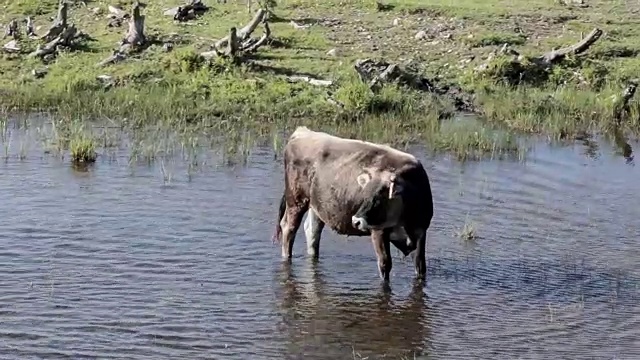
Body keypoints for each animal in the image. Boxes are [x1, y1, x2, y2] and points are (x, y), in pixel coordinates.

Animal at [270, 126, 436, 282]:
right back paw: (287, 258)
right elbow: (385, 264)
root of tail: (303, 132)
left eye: (380, 196)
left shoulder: (420, 232)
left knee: (312, 231)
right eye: (365, 194)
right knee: (289, 229)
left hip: (316, 205)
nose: (356, 221)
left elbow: (421, 267)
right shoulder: (378, 230)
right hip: (296, 200)